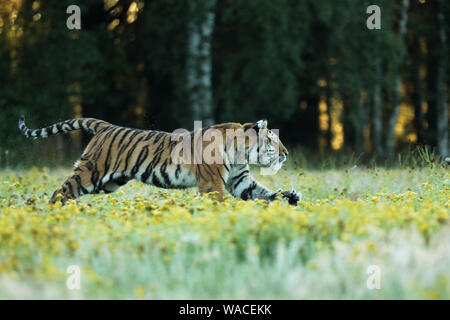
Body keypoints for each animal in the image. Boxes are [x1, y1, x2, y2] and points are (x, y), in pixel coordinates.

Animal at [17, 116, 300, 206]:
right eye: (272, 139)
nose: (286, 153)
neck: (240, 151)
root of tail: (105, 126)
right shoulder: (212, 184)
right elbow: (221, 203)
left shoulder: (240, 180)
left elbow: (262, 192)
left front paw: (288, 196)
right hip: (90, 173)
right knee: (60, 191)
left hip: (108, 183)